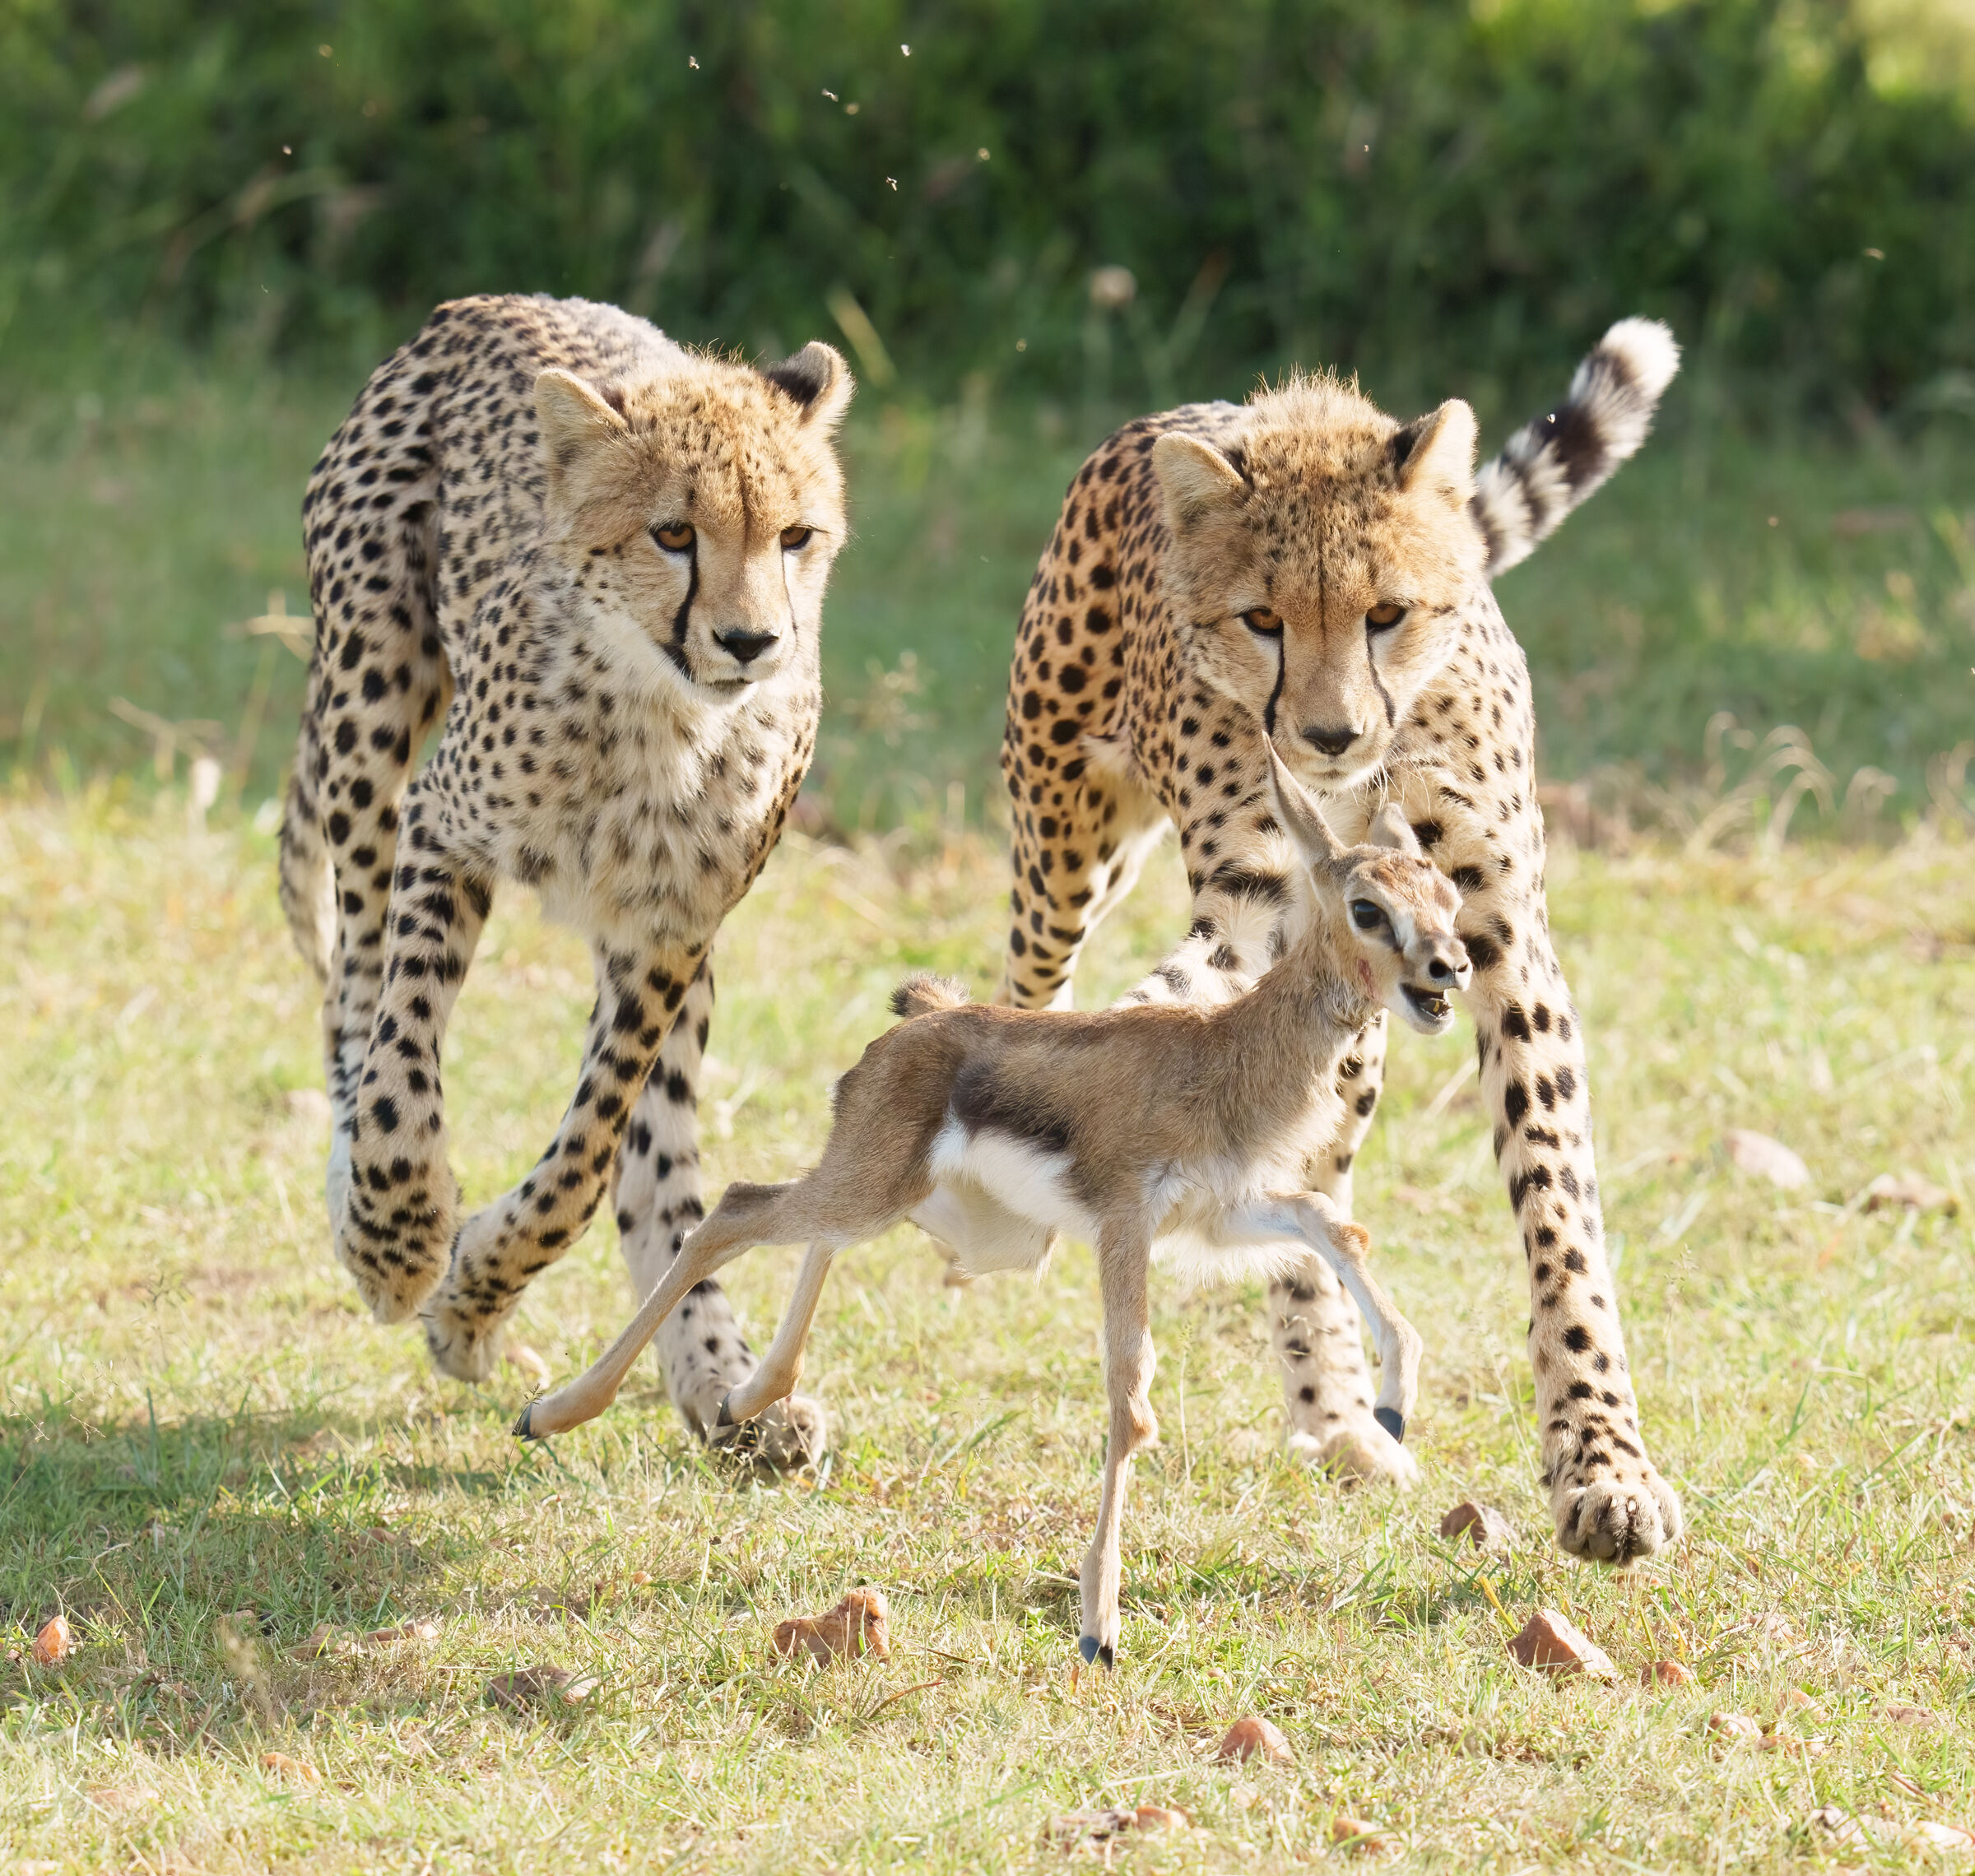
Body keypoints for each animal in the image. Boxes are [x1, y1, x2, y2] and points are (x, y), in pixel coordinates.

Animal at [278, 293, 852, 1468]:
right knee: (351, 989)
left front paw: (472, 1298)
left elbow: (587, 1161)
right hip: (368, 710)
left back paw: (723, 1379)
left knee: (660, 1163)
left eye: (796, 536)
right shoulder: (443, 829)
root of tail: (486, 303)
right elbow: (404, 1056)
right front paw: (404, 1241)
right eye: (673, 534)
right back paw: (361, 1199)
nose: (752, 640)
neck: (660, 721)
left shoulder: (669, 931)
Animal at [995, 319, 1685, 1562]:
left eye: (1387, 612)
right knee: (1046, 984)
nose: (1328, 734)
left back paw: (1343, 1416)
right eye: (1263, 618)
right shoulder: (1263, 906)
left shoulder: (1499, 939)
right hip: (1061, 848)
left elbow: (1557, 1206)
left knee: (1314, 1185)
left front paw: (1604, 1464)